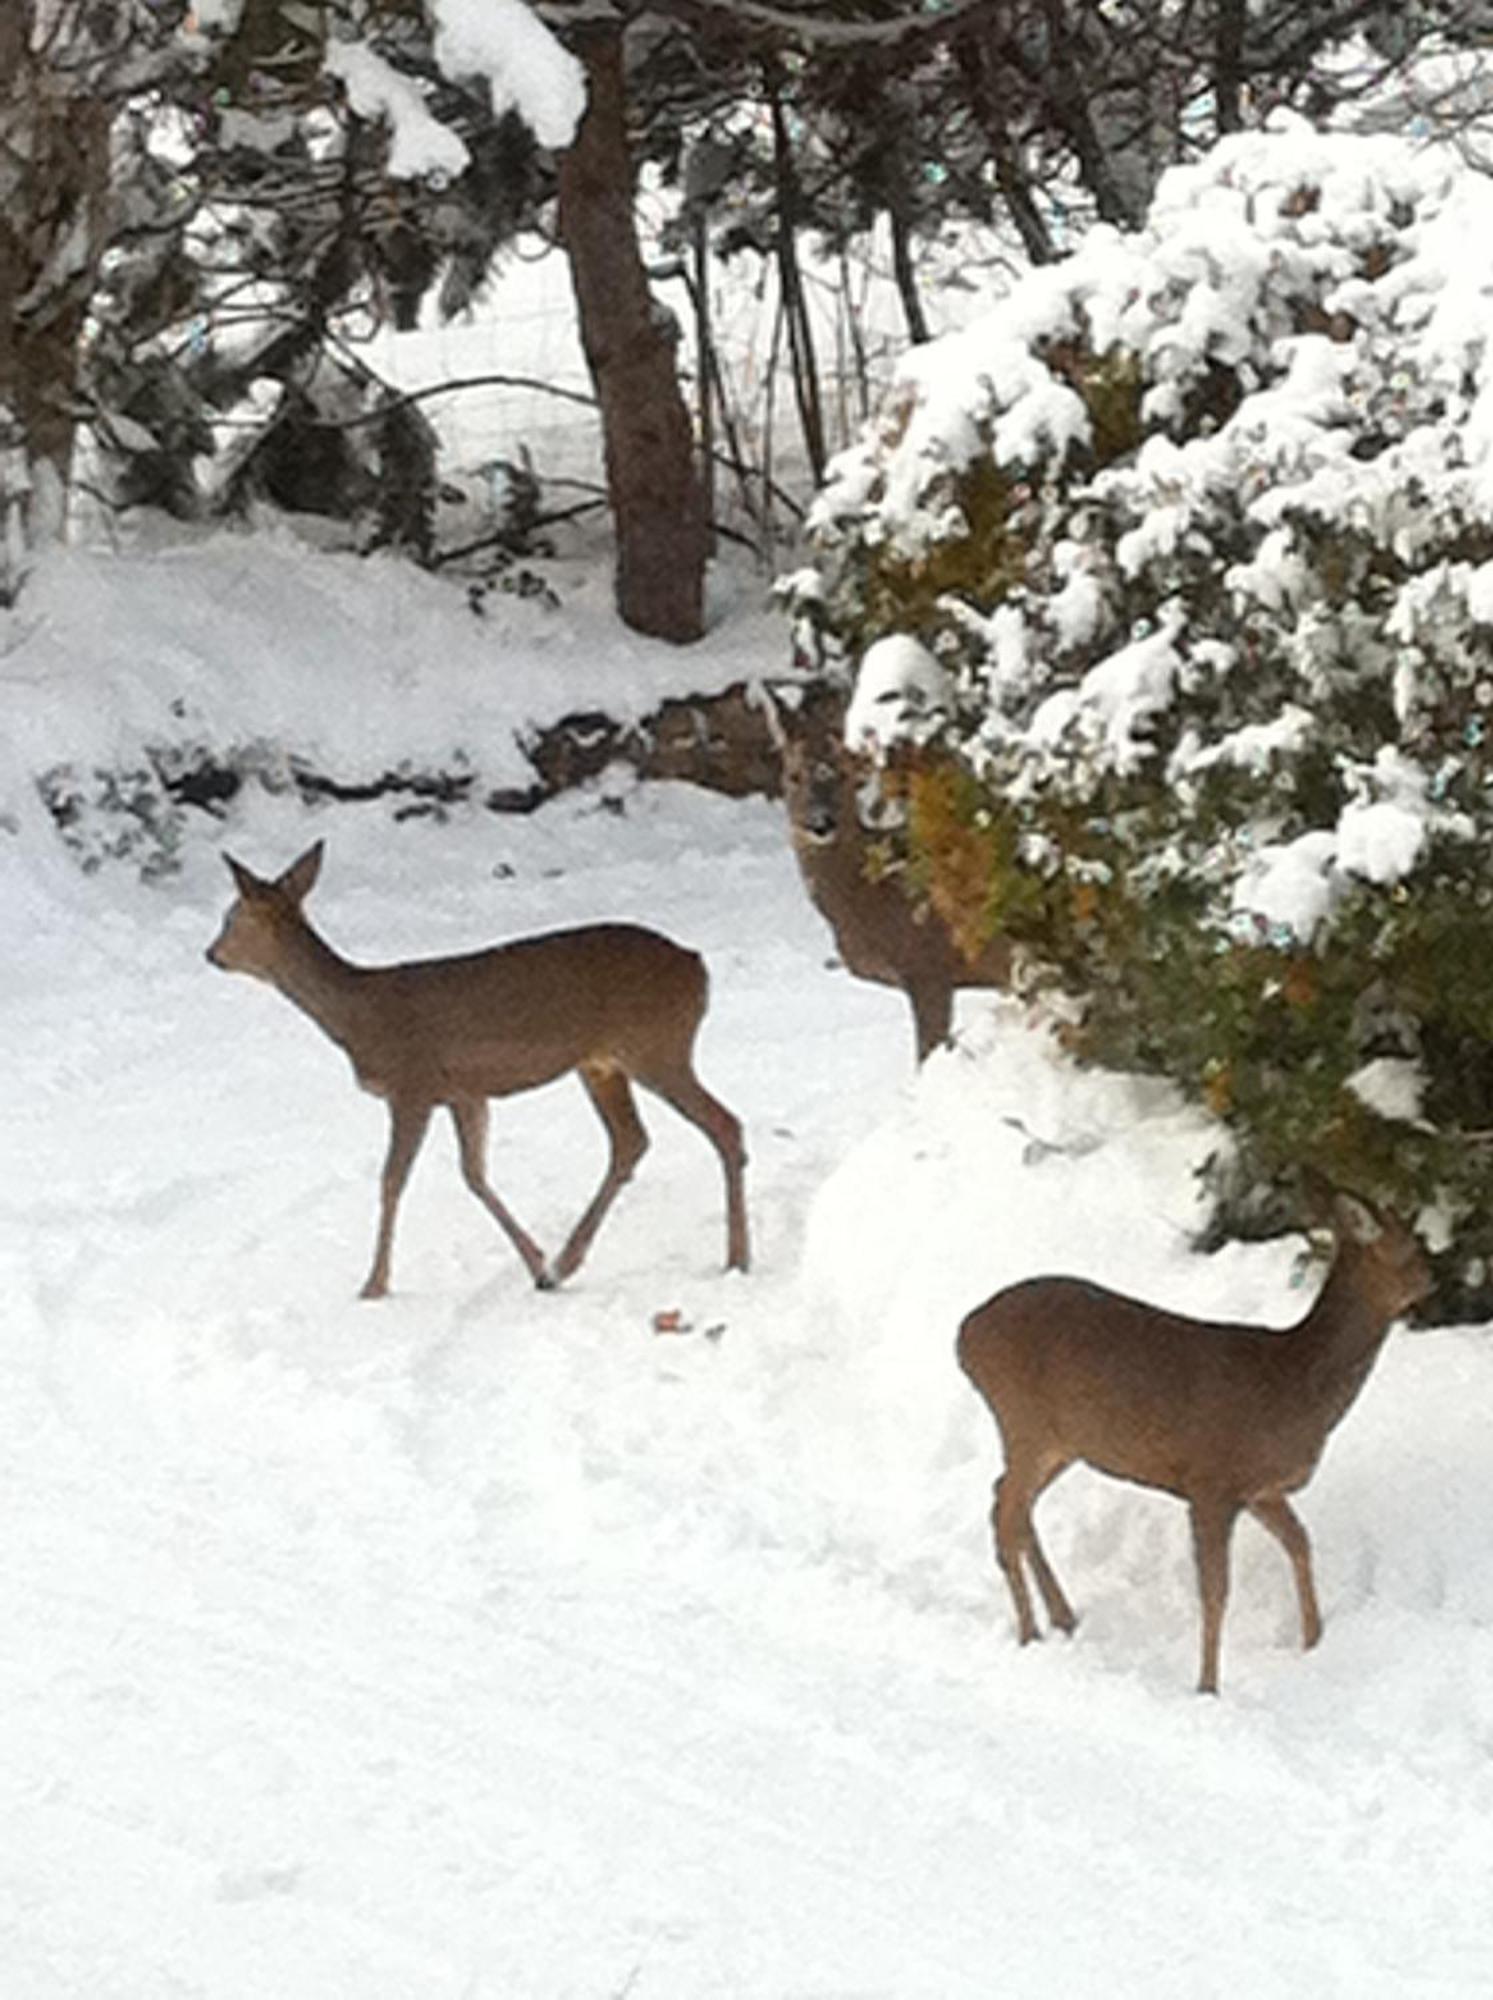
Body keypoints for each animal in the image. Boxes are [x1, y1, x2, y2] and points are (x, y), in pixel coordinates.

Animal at [203, 840, 748, 1296]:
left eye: (231, 916)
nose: (211, 954)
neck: (358, 1016)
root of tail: (698, 967)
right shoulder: (465, 1092)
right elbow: (475, 1175)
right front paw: (535, 1263)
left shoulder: (412, 1085)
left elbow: (392, 1181)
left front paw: (374, 1284)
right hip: (601, 1063)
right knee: (631, 1141)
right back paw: (565, 1265)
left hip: (656, 1044)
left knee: (723, 1124)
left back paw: (737, 1259)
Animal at [952, 1192, 1432, 1696]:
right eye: (1412, 1247)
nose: (1434, 1281)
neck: (1296, 1386)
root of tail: (964, 1336)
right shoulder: (1211, 1482)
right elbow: (1216, 1590)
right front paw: (1207, 1686)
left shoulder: (1259, 1490)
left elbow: (1300, 1542)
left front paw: (1314, 1641)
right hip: (1023, 1422)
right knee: (1006, 1511)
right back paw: (1030, 1632)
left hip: (1060, 1443)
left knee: (1009, 1500)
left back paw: (1063, 1617)